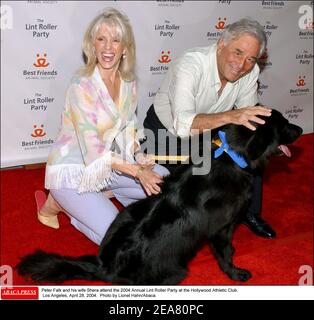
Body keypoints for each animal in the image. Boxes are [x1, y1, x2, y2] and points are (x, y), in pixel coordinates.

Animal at [16, 109, 302, 284]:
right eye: (284, 124)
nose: (300, 128)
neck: (231, 156)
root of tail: (103, 265)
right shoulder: (220, 229)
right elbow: (225, 254)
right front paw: (234, 272)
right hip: (174, 271)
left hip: (127, 211)